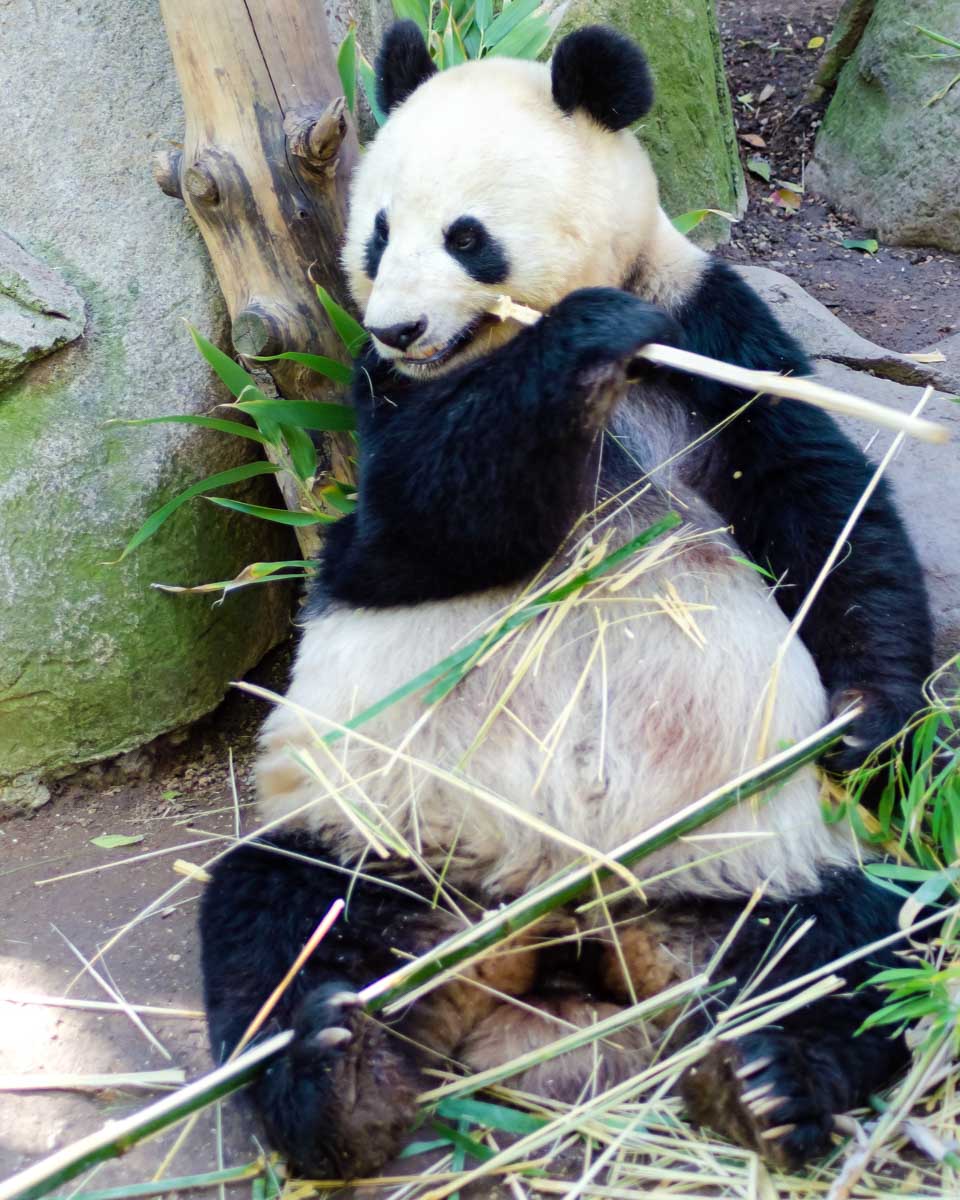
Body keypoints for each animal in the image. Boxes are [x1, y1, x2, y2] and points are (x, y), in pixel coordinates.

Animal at [200, 22, 934, 1178]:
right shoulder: (379, 408)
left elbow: (814, 496)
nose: (399, 328)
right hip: (380, 834)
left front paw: (869, 719)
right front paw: (577, 339)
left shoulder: (710, 327)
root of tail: (564, 929)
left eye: (466, 237)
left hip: (742, 857)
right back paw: (341, 1085)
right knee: (277, 920)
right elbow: (412, 529)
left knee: (855, 942)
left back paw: (765, 1081)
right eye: (376, 233)